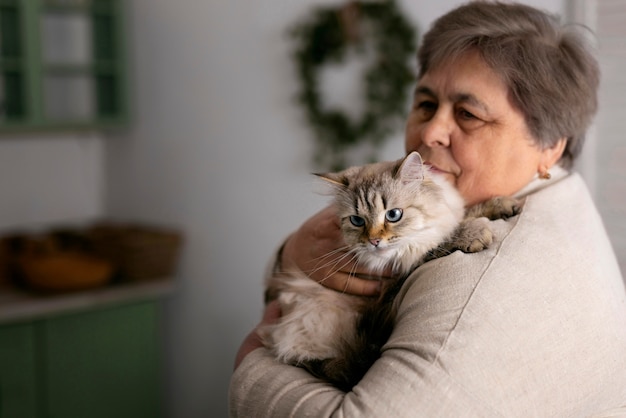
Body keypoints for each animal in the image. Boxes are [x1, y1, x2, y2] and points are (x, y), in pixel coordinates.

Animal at [258, 152, 516, 390]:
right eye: (357, 221)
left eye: (393, 215)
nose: (373, 242)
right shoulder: (400, 269)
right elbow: (441, 241)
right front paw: (473, 233)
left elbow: (467, 213)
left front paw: (505, 205)